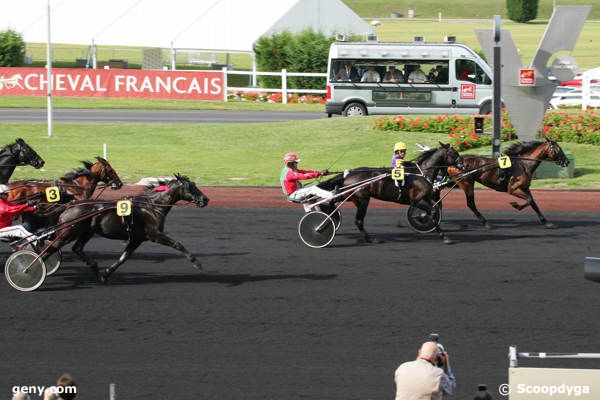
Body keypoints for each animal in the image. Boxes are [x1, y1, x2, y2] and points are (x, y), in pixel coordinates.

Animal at [42, 173, 211, 282]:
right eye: (191, 187)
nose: (206, 199)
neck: (151, 206)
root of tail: (70, 205)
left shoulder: (136, 239)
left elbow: (123, 258)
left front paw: (105, 274)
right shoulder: (155, 234)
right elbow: (178, 244)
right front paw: (197, 263)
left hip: (86, 232)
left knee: (77, 248)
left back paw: (94, 266)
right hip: (67, 232)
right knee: (50, 249)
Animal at [318, 144, 464, 244]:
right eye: (454, 153)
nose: (463, 165)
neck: (422, 173)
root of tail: (348, 173)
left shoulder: (426, 198)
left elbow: (434, 209)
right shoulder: (417, 200)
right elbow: (432, 212)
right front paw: (444, 236)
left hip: (352, 196)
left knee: (334, 199)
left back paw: (327, 217)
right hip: (362, 199)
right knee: (358, 220)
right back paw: (369, 238)